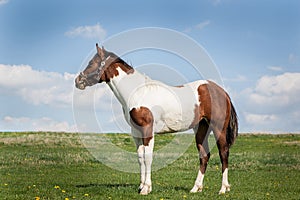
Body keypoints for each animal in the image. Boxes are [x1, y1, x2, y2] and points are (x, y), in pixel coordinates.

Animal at [74, 44, 238, 195]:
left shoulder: (148, 129)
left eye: (92, 63)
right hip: (201, 128)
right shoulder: (136, 131)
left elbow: (148, 157)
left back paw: (223, 188)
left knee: (223, 153)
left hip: (218, 128)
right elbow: (140, 157)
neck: (137, 91)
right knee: (204, 156)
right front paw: (140, 187)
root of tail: (222, 92)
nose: (78, 81)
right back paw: (195, 188)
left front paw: (146, 188)